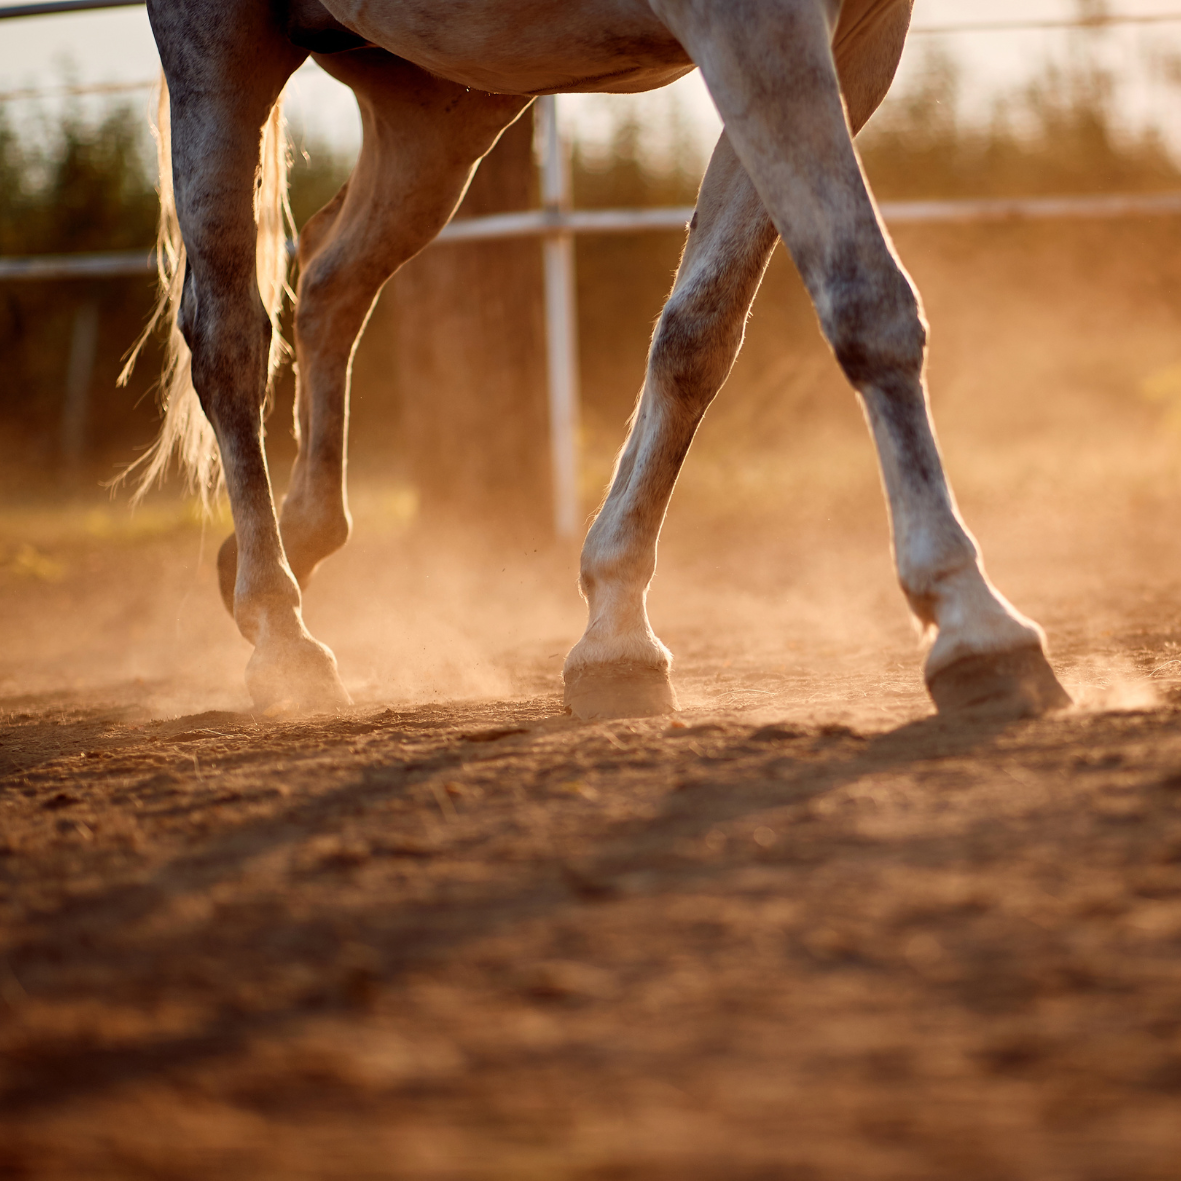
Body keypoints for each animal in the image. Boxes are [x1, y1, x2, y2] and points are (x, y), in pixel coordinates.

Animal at [127, 0, 1071, 720]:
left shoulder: (856, 41)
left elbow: (698, 334)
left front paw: (615, 634)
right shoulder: (756, 26)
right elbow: (865, 299)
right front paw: (973, 620)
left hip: (439, 102)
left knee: (329, 278)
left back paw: (291, 543)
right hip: (224, 52)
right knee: (228, 336)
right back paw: (280, 633)